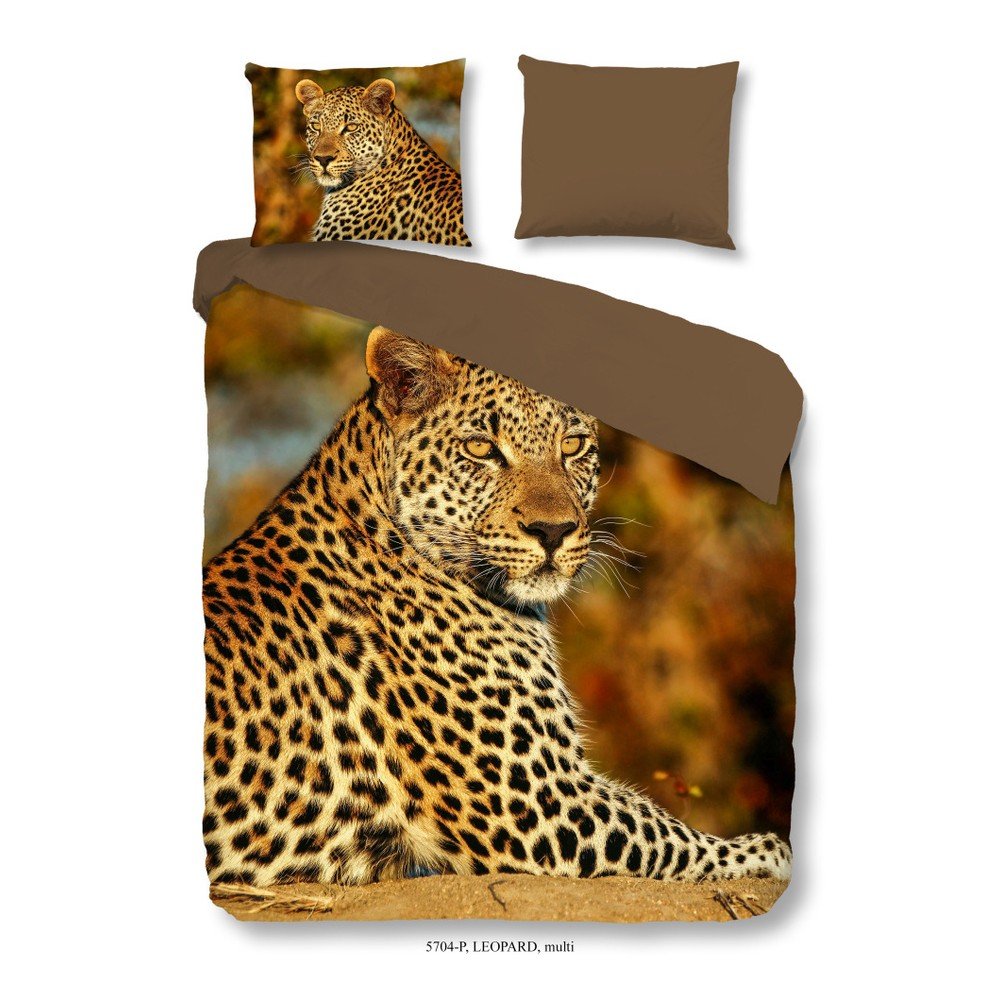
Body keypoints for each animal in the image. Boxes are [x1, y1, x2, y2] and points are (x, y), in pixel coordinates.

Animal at [202, 327, 792, 887]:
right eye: (482, 449)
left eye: (573, 445)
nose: (553, 531)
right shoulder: (547, 806)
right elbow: (664, 831)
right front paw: (766, 849)